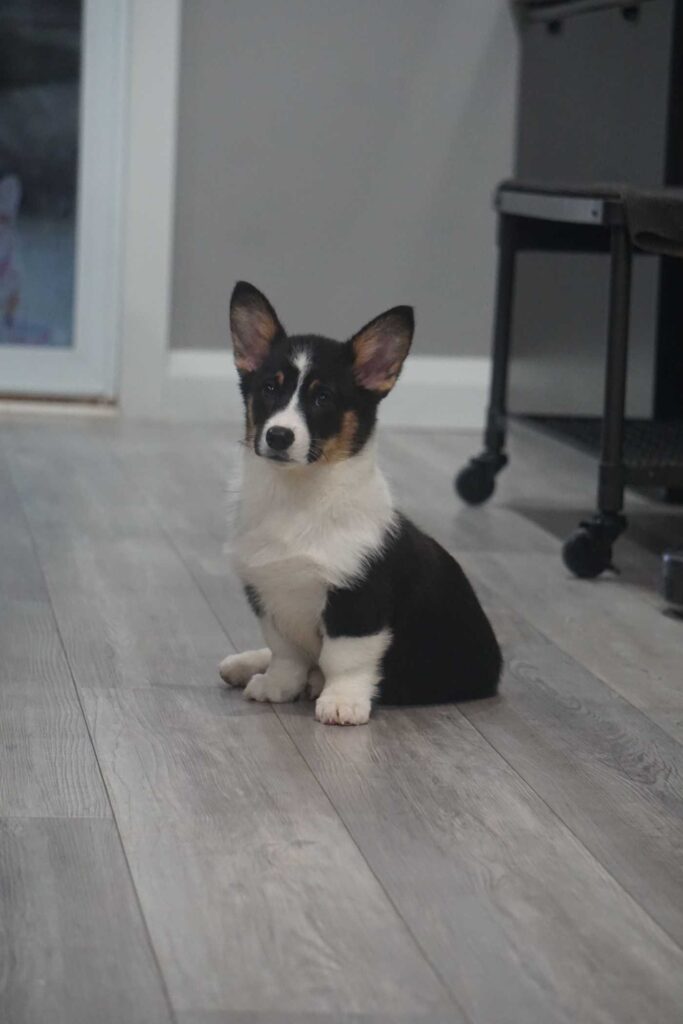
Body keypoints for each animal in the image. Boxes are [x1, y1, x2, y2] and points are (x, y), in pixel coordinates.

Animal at [220, 281, 501, 725]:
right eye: (269, 388)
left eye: (323, 398)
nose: (279, 436)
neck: (298, 496)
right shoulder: (268, 594)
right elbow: (286, 654)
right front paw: (277, 686)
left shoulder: (356, 602)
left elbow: (343, 659)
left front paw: (341, 702)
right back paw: (246, 664)